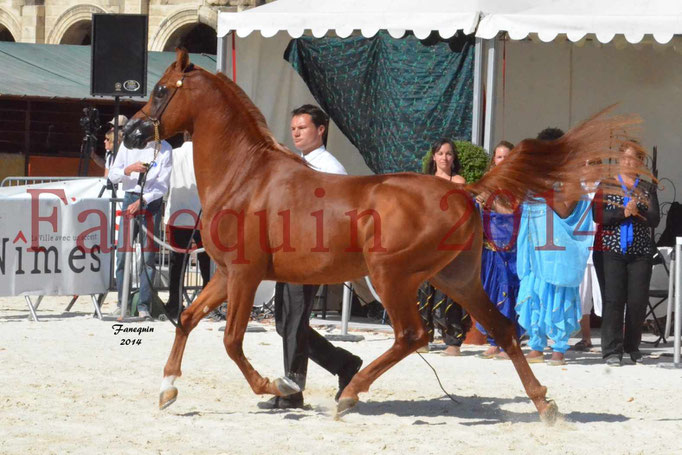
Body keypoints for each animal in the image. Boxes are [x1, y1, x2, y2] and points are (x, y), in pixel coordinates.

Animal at [125, 50, 640, 424]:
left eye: (161, 90)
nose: (130, 132)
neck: (247, 177)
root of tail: (463, 190)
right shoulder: (226, 274)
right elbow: (186, 318)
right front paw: (167, 389)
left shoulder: (247, 275)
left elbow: (232, 341)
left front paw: (277, 386)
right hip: (456, 279)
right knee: (502, 330)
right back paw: (545, 406)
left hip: (392, 276)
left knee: (414, 333)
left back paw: (350, 395)